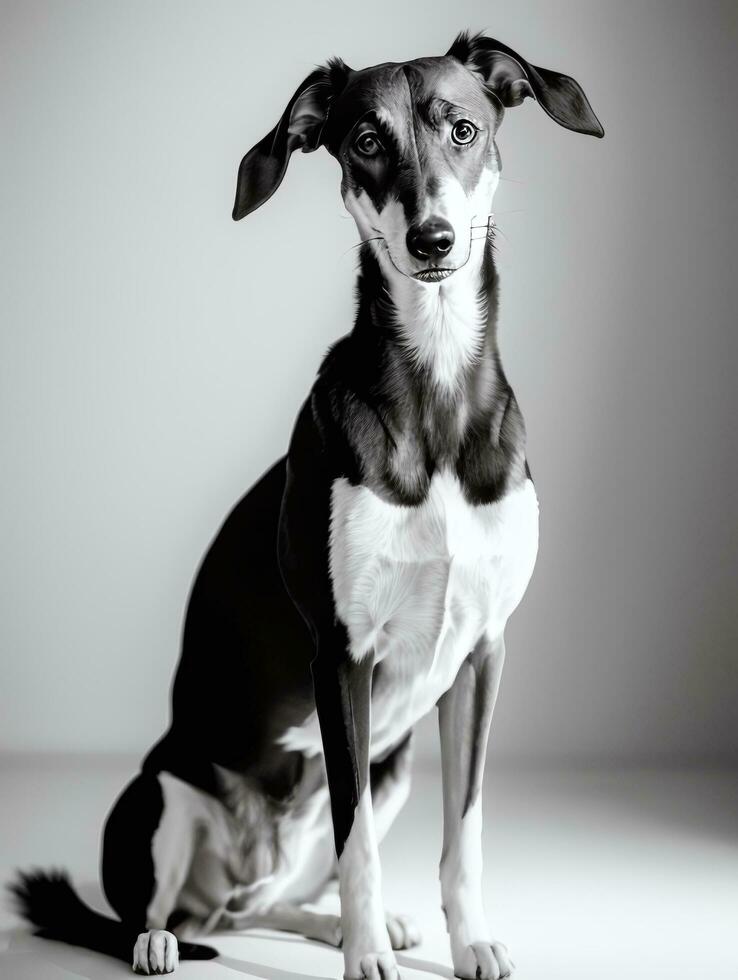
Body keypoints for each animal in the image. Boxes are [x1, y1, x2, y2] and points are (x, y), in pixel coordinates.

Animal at [10, 30, 600, 980]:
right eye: (365, 141)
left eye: (464, 128)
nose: (432, 239)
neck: (436, 390)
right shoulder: (342, 655)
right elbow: (358, 844)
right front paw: (365, 959)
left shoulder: (482, 656)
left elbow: (464, 831)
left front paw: (466, 940)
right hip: (160, 793)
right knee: (153, 908)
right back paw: (162, 941)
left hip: (386, 773)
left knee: (264, 903)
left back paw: (335, 924)